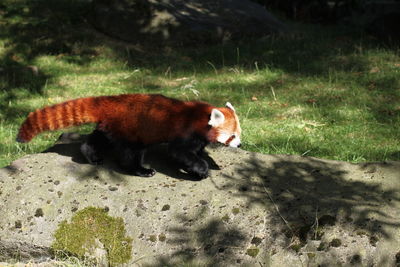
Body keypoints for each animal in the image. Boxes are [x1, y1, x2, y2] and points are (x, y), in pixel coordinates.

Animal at [16, 94, 241, 180]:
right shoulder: (184, 132)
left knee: (98, 139)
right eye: (232, 136)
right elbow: (179, 152)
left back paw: (91, 155)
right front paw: (200, 170)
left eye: (239, 134)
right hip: (132, 131)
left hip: (112, 126)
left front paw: (202, 160)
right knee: (129, 154)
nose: (239, 145)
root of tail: (112, 102)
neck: (200, 116)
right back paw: (140, 170)